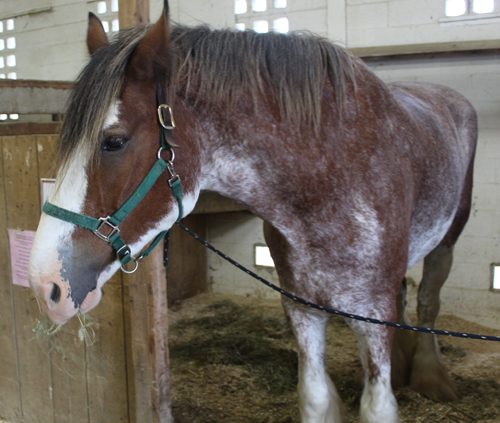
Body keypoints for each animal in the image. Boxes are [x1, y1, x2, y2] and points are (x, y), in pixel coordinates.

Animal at [26, 1, 476, 422]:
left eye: (114, 142)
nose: (45, 287)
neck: (332, 182)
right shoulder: (302, 309)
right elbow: (315, 399)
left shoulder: (372, 315)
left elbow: (378, 405)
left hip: (448, 240)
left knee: (429, 299)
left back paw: (432, 376)